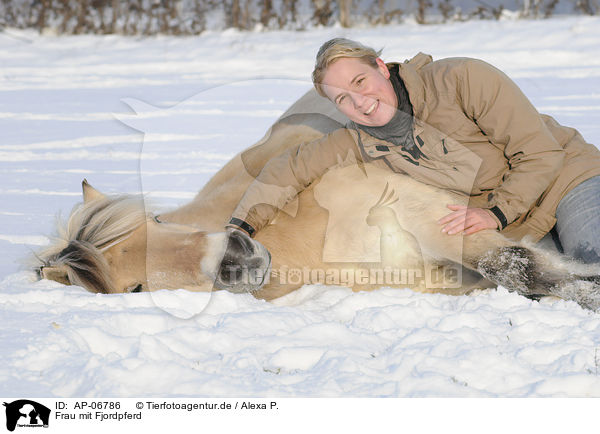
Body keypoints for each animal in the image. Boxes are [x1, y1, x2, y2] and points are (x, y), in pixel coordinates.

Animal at [35, 88, 600, 310]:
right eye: (134, 289)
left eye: (154, 220)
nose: (239, 258)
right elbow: (522, 274)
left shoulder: (434, 218)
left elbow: (518, 265)